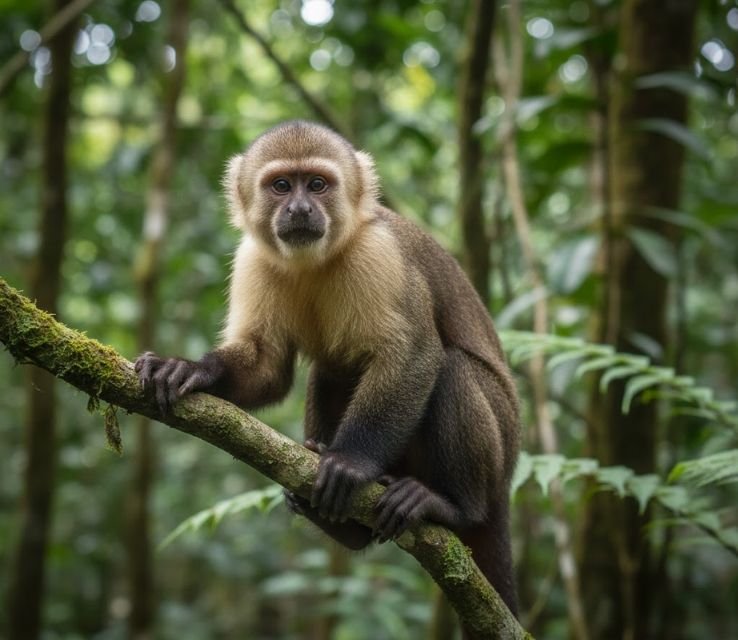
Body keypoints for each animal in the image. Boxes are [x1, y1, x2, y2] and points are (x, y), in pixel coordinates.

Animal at [135, 121, 521, 629]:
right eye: (282, 186)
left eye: (317, 184)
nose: (300, 208)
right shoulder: (252, 258)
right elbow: (268, 367)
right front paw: (191, 369)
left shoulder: (380, 254)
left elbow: (415, 355)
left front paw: (352, 462)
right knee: (332, 370)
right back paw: (345, 527)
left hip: (499, 454)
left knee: (451, 368)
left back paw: (455, 508)